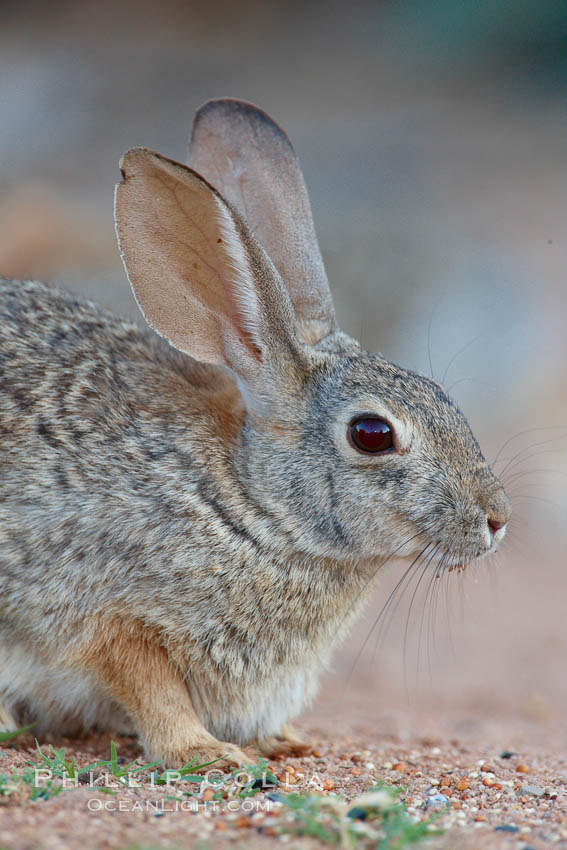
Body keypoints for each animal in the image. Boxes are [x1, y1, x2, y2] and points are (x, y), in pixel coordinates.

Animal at [0, 99, 512, 768]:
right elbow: (148, 683)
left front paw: (284, 740)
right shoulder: (106, 614)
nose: (497, 518)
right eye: (372, 433)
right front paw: (205, 752)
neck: (253, 504)